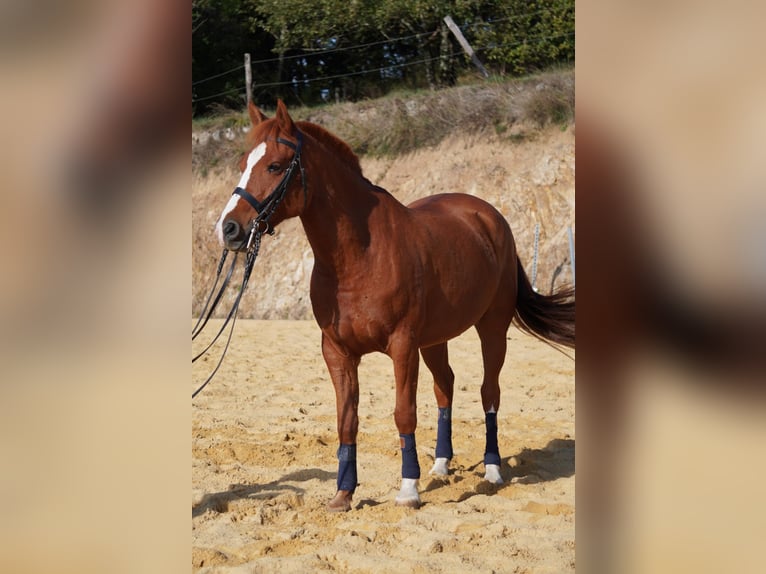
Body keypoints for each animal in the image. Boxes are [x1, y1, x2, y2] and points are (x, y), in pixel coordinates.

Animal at [214, 100, 575, 511]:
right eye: (243, 162)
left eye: (274, 166)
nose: (229, 229)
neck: (359, 256)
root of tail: (489, 216)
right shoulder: (337, 352)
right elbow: (347, 420)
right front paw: (343, 494)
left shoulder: (402, 346)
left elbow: (404, 413)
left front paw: (409, 490)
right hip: (435, 339)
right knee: (445, 387)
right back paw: (441, 464)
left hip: (492, 328)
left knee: (489, 392)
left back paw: (493, 469)